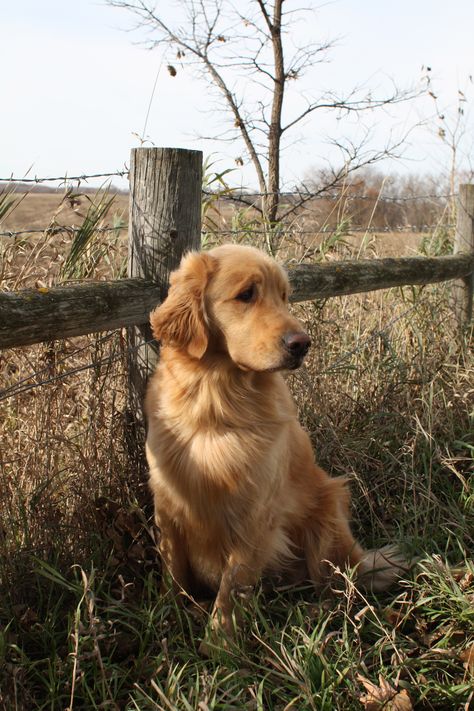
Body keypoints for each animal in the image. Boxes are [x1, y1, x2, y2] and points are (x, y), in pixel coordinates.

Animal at [144, 243, 404, 644]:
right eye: (246, 294)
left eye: (284, 297)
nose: (303, 345)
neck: (215, 401)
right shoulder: (168, 504)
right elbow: (172, 570)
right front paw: (167, 616)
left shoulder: (254, 514)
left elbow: (232, 586)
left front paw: (219, 643)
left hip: (327, 516)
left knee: (336, 586)